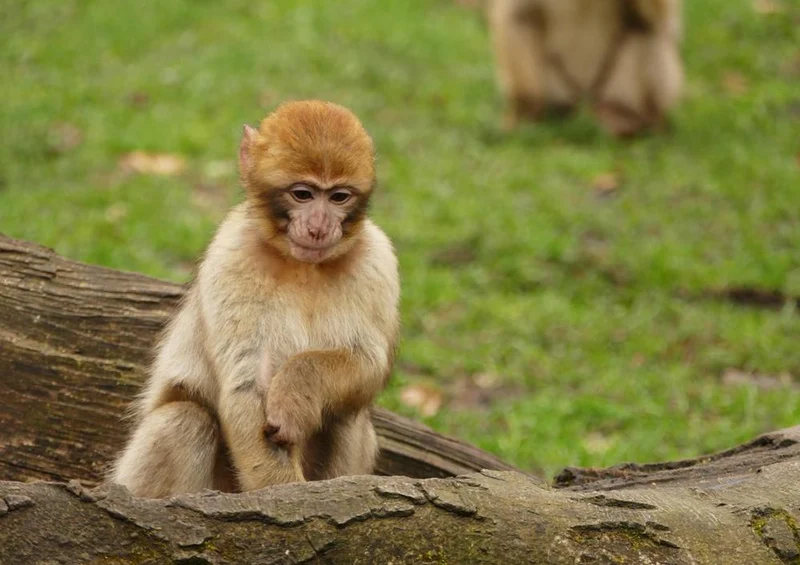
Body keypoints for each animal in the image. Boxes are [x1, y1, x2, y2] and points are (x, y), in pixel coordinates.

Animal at [111, 100, 400, 498]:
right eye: (303, 194)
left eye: (338, 196)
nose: (318, 228)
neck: (303, 266)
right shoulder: (233, 255)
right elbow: (247, 383)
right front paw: (287, 495)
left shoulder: (377, 260)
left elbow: (367, 362)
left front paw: (298, 389)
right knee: (184, 420)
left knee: (348, 417)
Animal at [487, 0, 684, 136]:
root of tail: (585, 101)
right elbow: (519, 16)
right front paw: (525, 111)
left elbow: (658, 19)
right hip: (559, 86)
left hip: (619, 89)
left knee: (646, 31)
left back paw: (636, 121)